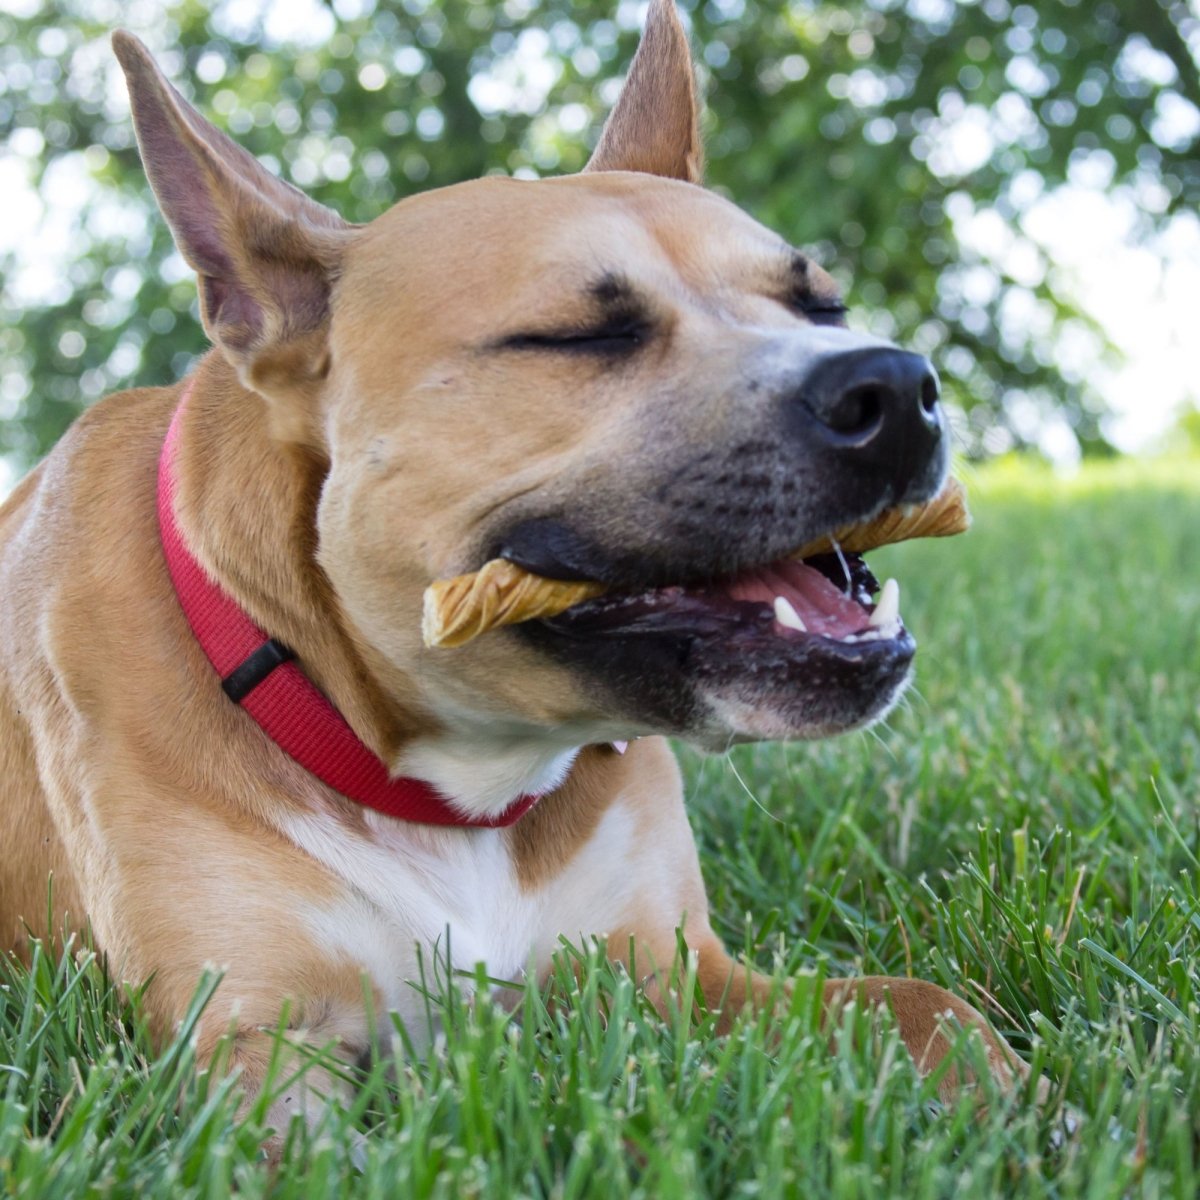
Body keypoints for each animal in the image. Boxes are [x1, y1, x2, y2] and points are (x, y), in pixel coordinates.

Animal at [0, 0, 1032, 1132]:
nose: (897, 388)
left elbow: (926, 1004)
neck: (452, 778)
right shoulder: (251, 1055)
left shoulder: (685, 973)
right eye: (576, 337)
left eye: (822, 306)